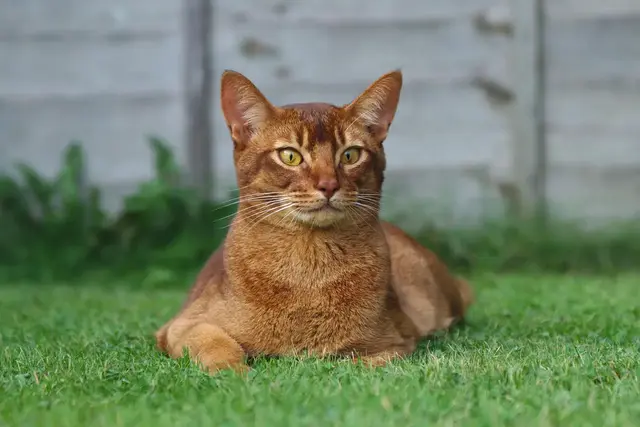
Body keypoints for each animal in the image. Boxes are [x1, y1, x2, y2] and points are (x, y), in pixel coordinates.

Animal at [155, 68, 476, 372]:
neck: (309, 268)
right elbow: (217, 345)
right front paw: (235, 374)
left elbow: (358, 364)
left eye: (350, 155)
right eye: (290, 156)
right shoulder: (182, 325)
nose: (328, 185)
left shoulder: (397, 342)